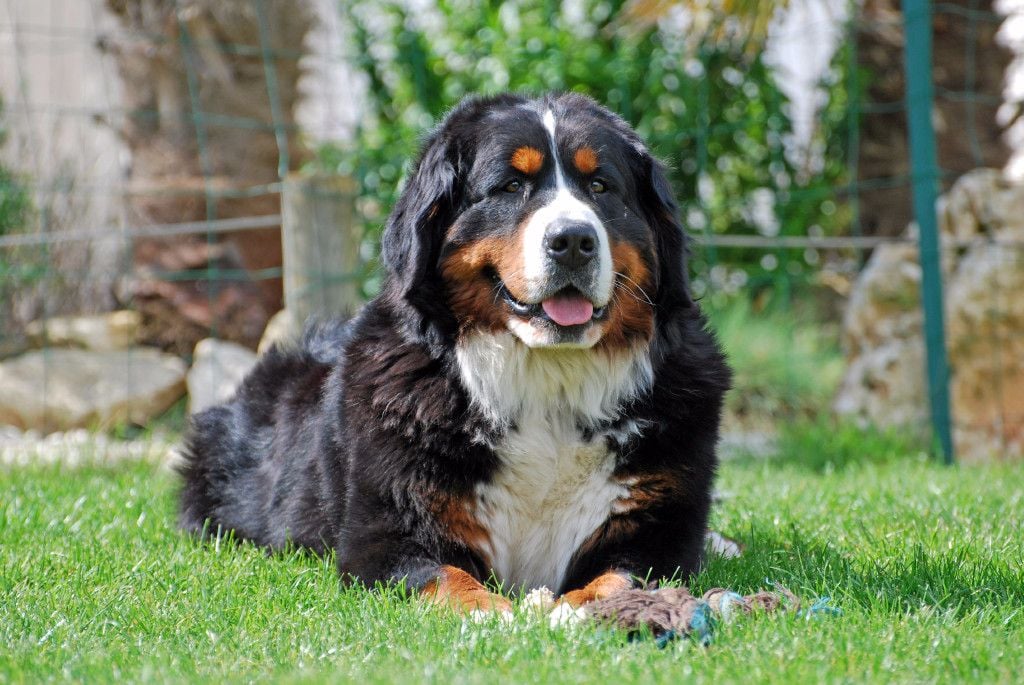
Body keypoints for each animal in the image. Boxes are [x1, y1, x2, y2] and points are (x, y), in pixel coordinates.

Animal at [180, 92, 733, 614]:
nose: (573, 239)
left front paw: (575, 611)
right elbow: (446, 578)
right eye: (510, 186)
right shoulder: (389, 533)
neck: (547, 386)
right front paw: (497, 615)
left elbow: (621, 578)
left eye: (600, 187)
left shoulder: (659, 534)